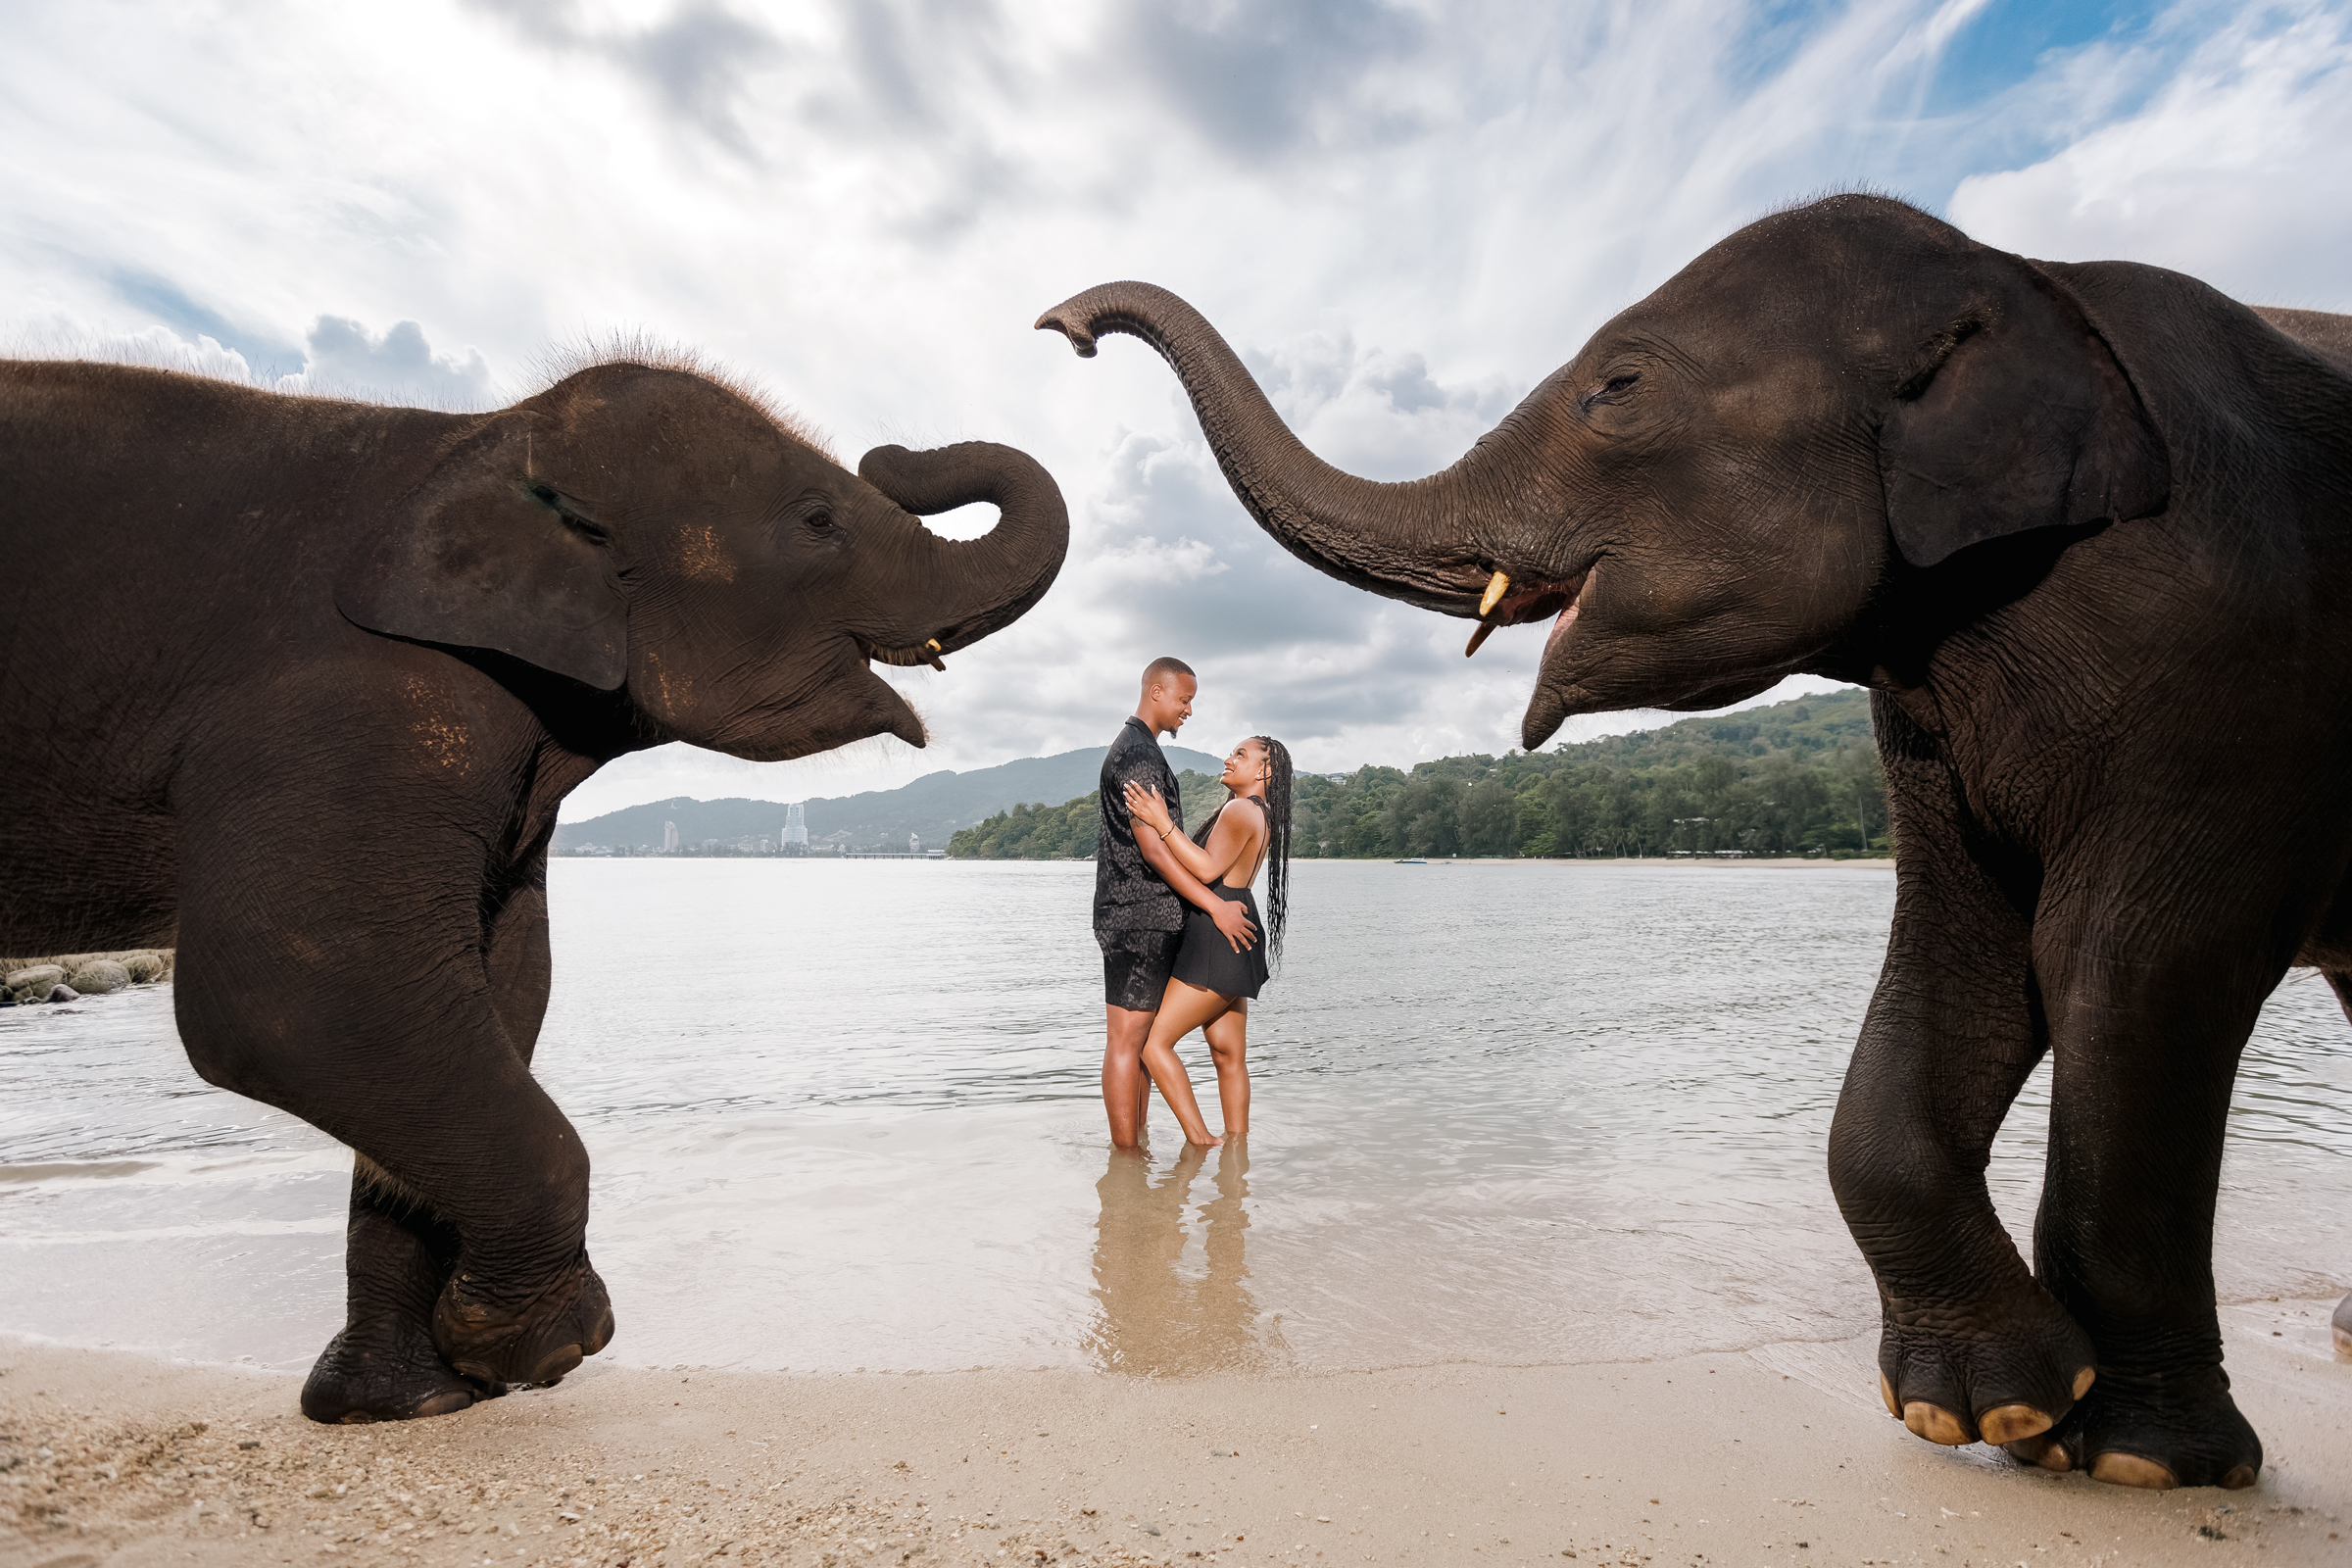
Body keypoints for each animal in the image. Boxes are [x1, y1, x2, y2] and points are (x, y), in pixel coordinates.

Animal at [0, 352, 1067, 1422]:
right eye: (818, 520)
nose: (895, 451)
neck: (475, 438)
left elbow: (497, 988)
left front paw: (411, 1401)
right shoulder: (346, 702)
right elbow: (290, 995)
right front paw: (547, 1347)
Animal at [1037, 194, 2351, 1490]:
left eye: (1620, 386)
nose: (1065, 328)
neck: (2028, 269)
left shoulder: (2237, 663)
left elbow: (2132, 969)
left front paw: (2138, 1458)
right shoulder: (1935, 735)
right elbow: (1966, 955)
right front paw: (1996, 1414)